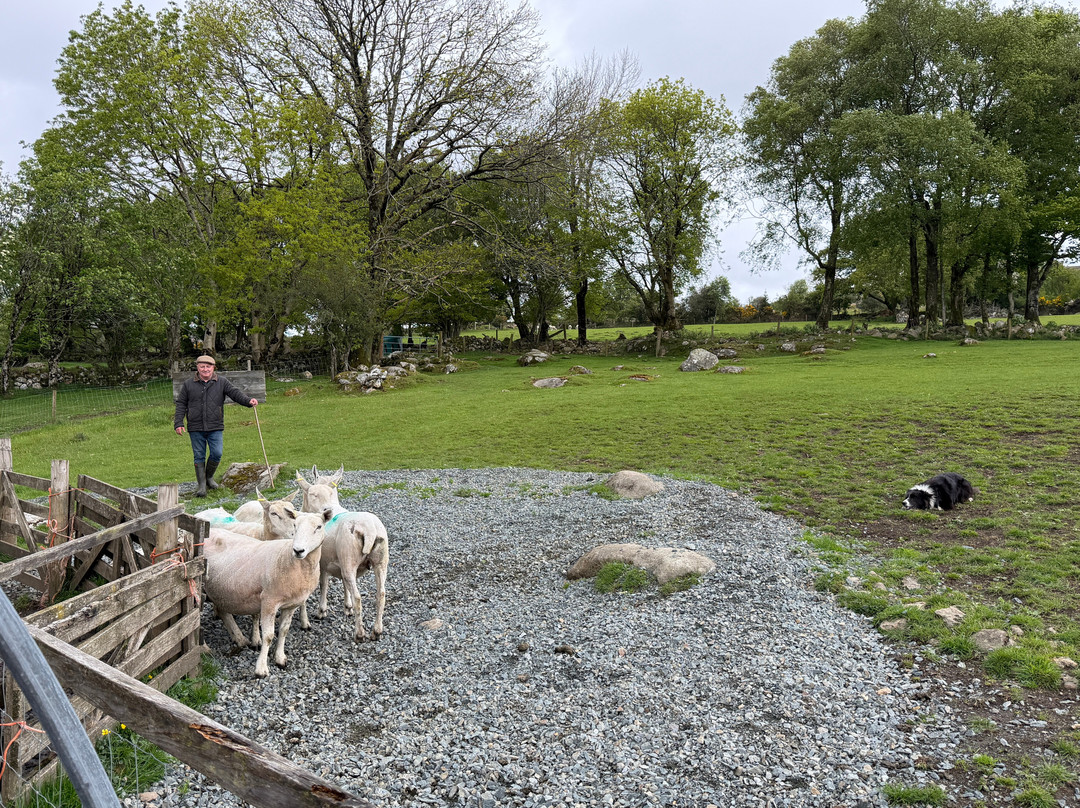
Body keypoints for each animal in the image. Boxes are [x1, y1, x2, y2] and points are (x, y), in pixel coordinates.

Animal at [203, 509, 330, 677]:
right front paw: (261, 668)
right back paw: (205, 648)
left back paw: (239, 639)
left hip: (219, 589)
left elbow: (283, 631)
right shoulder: (269, 601)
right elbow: (268, 636)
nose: (298, 550)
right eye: (295, 525)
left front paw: (280, 658)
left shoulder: (291, 605)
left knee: (223, 611)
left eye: (319, 527)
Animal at [295, 467, 389, 641]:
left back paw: (359, 633)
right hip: (380, 560)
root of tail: (369, 530)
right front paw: (347, 607)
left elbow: (324, 584)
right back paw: (377, 631)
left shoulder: (322, 562)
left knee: (358, 597)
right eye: (314, 494)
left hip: (349, 556)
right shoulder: (338, 562)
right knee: (381, 593)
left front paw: (322, 611)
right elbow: (344, 584)